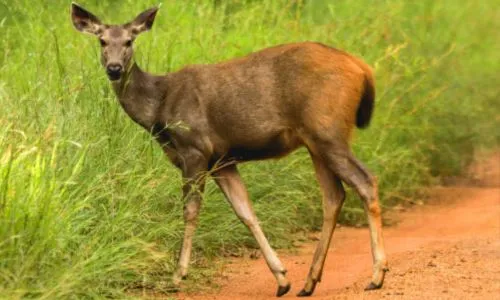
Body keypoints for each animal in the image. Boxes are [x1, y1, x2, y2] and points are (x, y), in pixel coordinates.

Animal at [71, 2, 390, 298]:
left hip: (328, 131)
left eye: (129, 41)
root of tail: (362, 69)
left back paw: (377, 275)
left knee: (365, 181)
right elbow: (245, 211)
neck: (158, 108)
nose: (114, 68)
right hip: (315, 141)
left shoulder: (195, 149)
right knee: (334, 196)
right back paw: (310, 282)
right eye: (102, 41)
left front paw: (178, 274)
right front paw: (282, 278)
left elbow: (190, 210)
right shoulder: (222, 160)